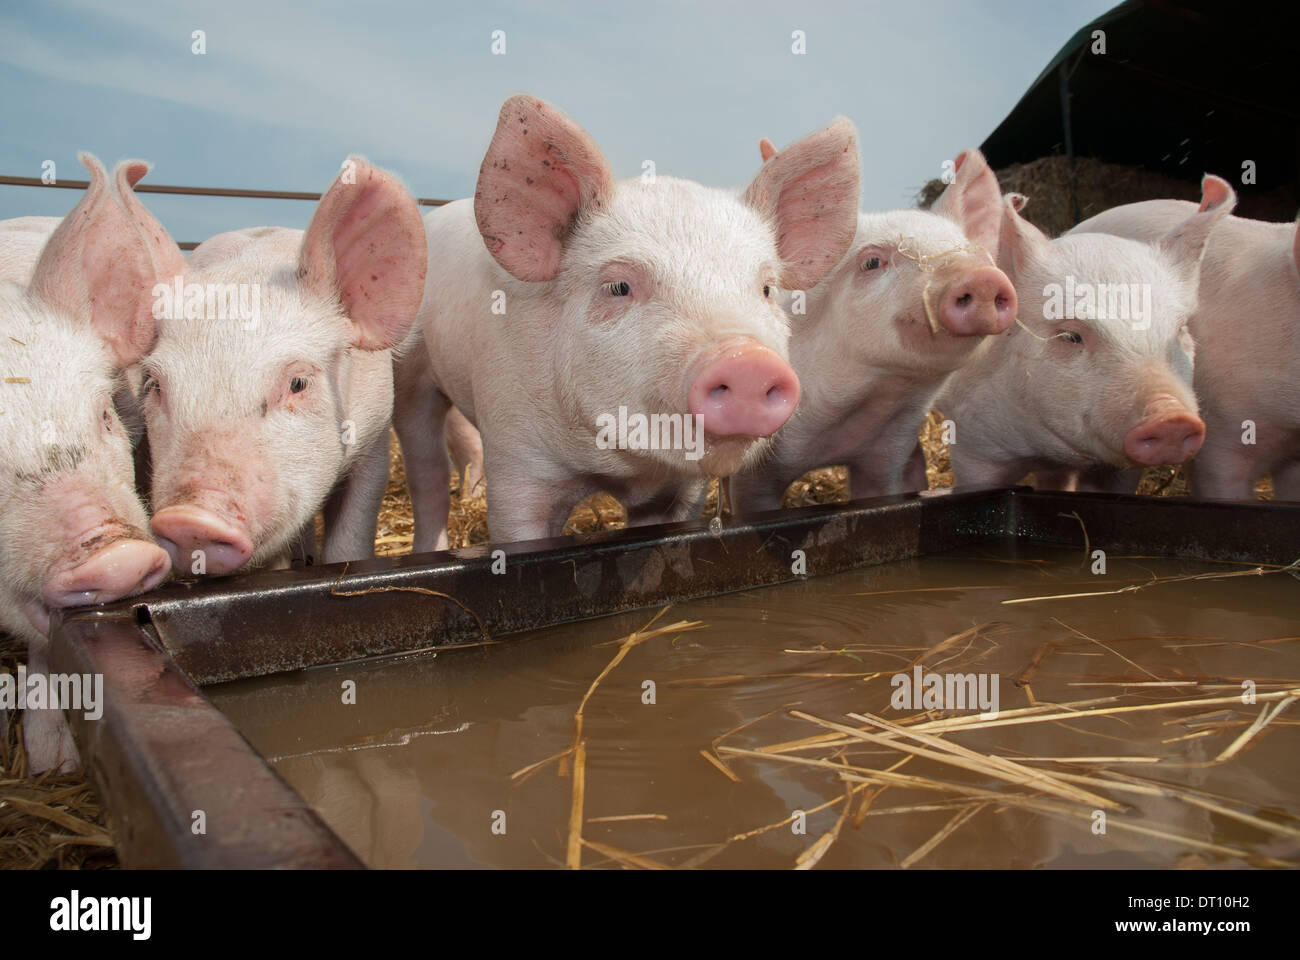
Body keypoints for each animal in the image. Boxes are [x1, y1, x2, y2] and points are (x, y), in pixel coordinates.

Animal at [394, 94, 860, 548]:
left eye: (765, 288)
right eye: (619, 286)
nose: (746, 360)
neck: (618, 468)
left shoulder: (682, 490)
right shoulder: (517, 458)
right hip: (412, 377)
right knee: (428, 473)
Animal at [937, 175, 1236, 489]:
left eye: (1179, 330)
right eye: (1071, 336)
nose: (1172, 418)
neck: (1047, 451)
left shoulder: (1118, 470)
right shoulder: (973, 447)